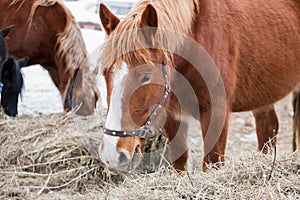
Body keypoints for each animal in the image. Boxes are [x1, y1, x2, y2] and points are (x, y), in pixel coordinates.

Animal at [97, 0, 298, 172]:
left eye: (146, 76)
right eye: (105, 73)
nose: (112, 154)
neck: (196, 39)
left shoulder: (216, 112)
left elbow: (213, 162)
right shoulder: (172, 115)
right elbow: (180, 162)